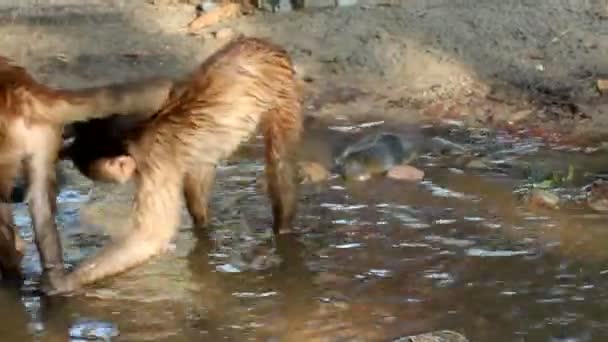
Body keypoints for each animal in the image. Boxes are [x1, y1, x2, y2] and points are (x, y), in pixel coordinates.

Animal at [49, 36, 302, 296]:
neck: (132, 136)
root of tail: (265, 45)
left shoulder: (155, 164)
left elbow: (151, 236)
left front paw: (66, 282)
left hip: (282, 91)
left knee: (279, 163)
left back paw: (283, 233)